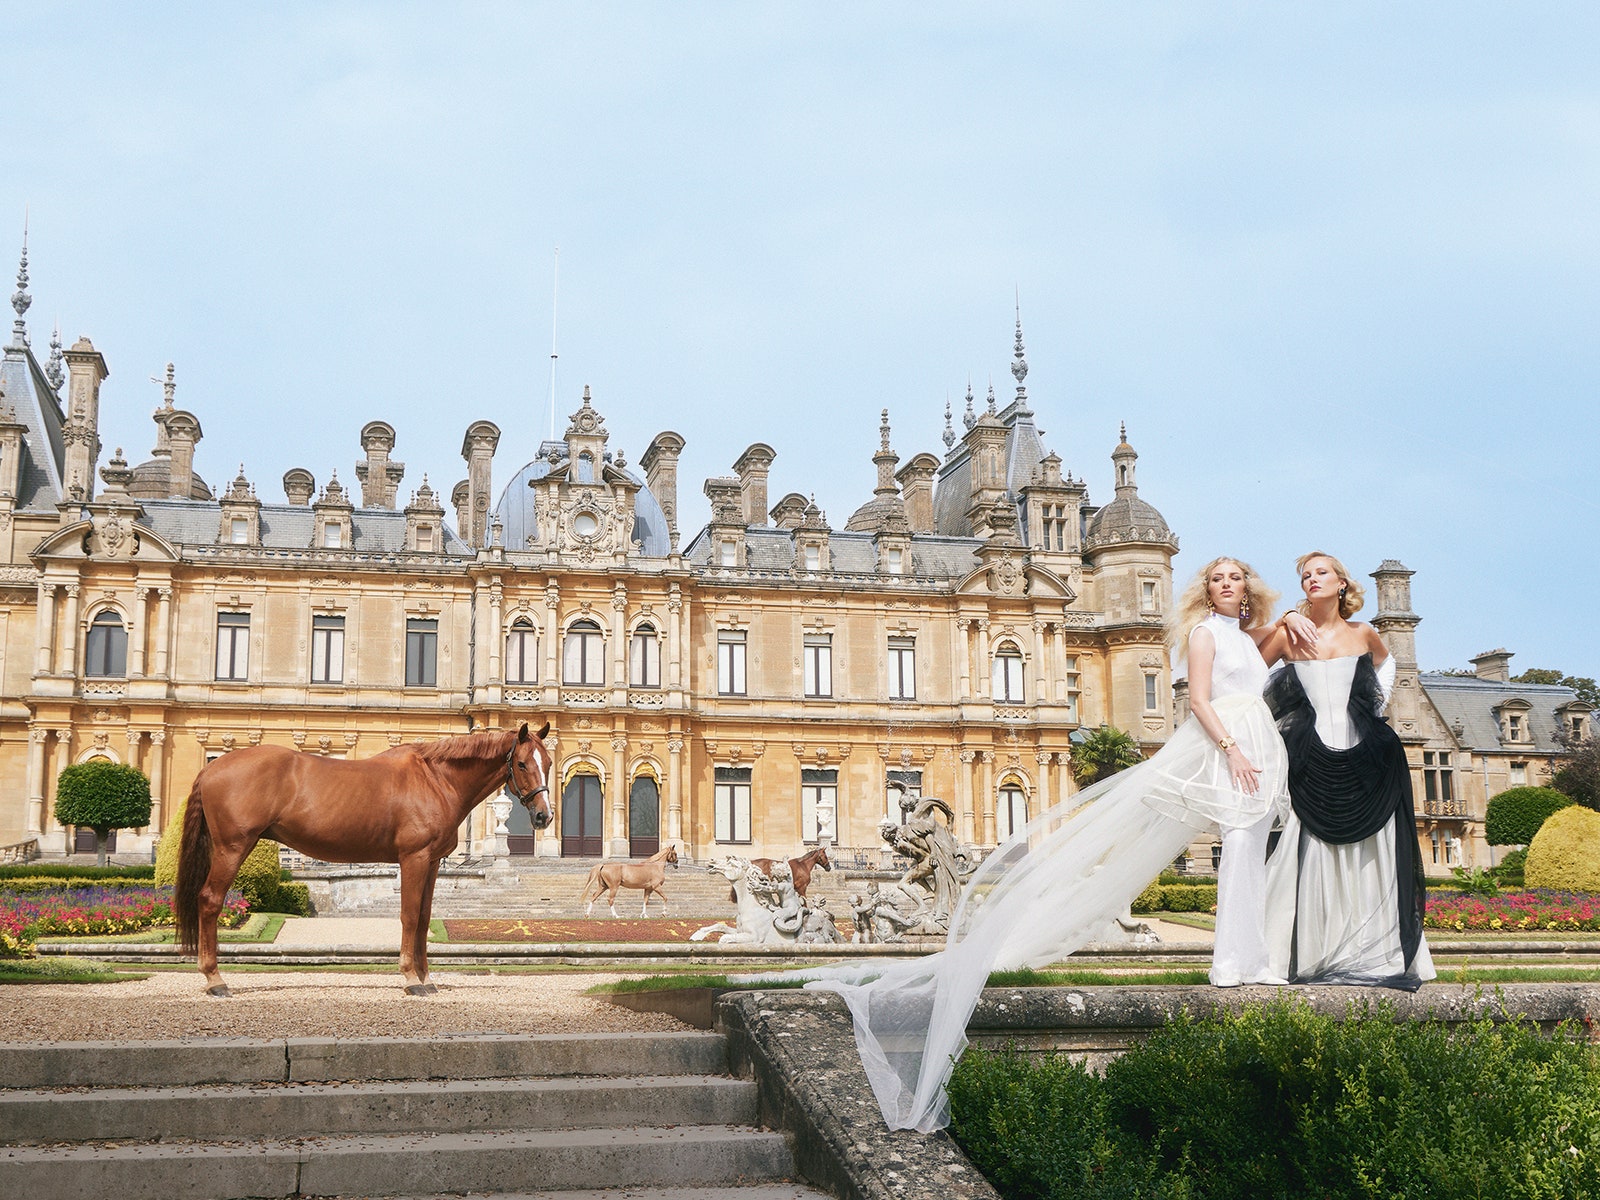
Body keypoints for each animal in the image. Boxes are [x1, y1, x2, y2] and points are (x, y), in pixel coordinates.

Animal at [176, 723, 556, 998]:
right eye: (522, 763)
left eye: (548, 763)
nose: (544, 817)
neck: (435, 779)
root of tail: (213, 768)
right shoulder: (414, 859)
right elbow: (408, 917)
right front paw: (411, 979)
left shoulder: (432, 863)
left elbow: (423, 919)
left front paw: (427, 978)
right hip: (232, 848)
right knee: (210, 901)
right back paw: (215, 980)